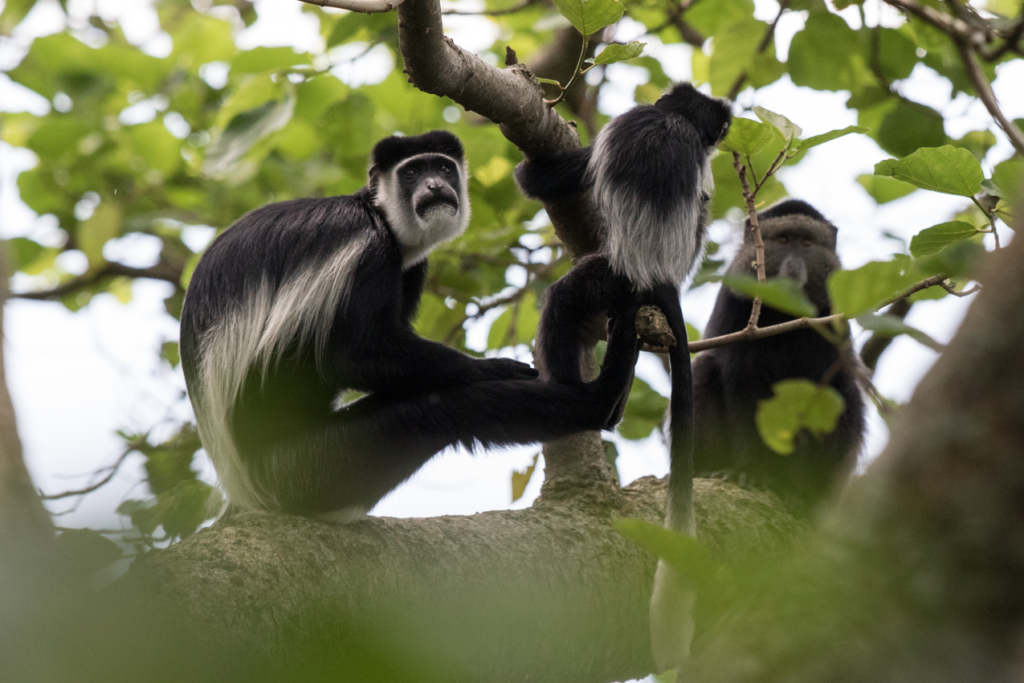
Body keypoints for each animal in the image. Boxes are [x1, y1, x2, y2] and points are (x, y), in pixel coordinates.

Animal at [692, 197, 868, 511]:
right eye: (784, 241)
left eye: (807, 243)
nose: (795, 265)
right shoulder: (735, 306)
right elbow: (744, 388)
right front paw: (751, 473)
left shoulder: (831, 320)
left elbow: (818, 394)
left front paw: (797, 492)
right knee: (703, 368)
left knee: (845, 390)